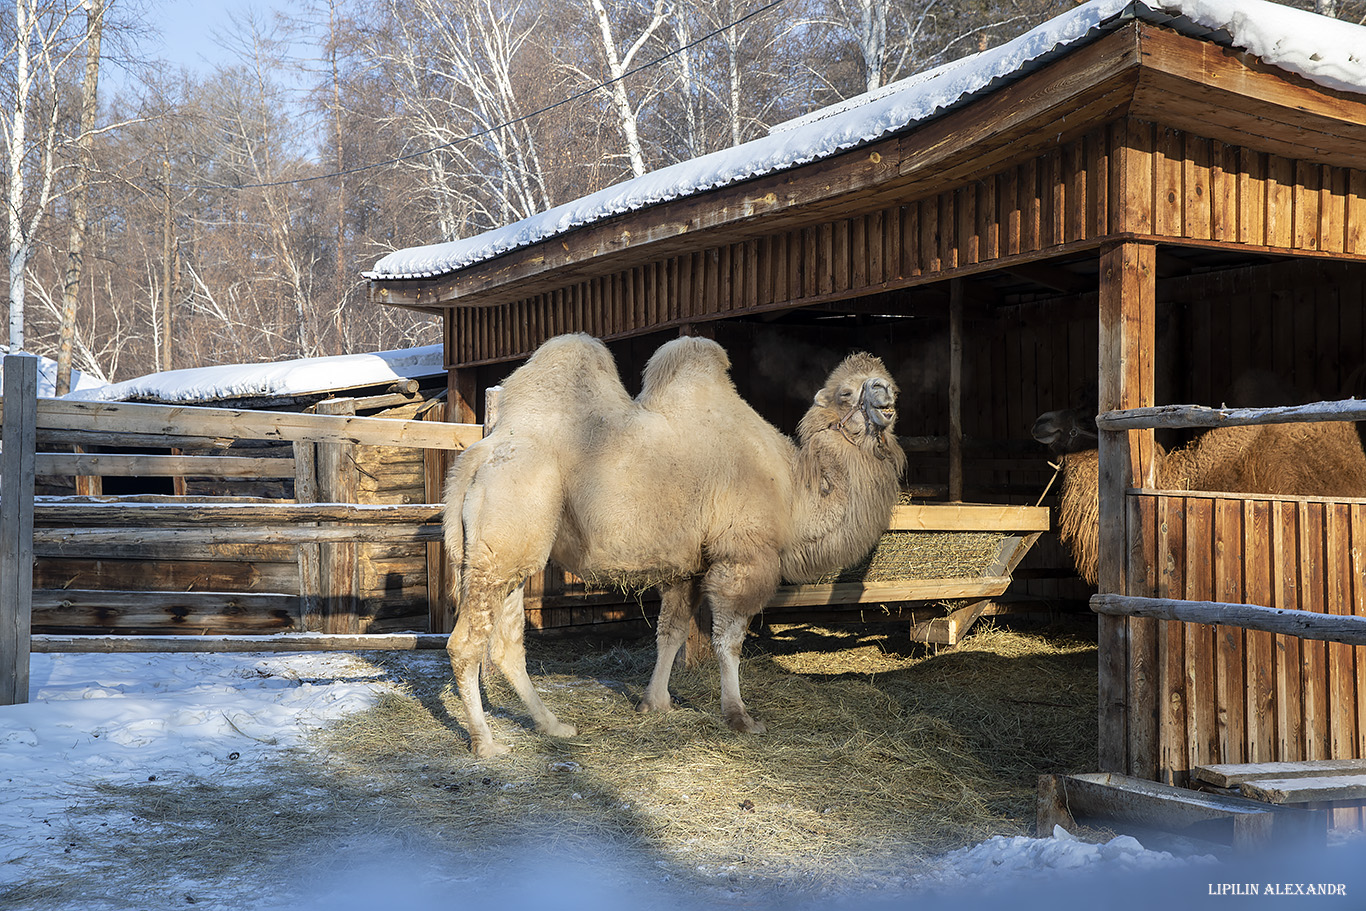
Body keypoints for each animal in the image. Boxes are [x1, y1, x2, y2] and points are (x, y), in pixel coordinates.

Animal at [439, 333, 907, 753]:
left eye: (888, 383)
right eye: (846, 392)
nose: (885, 395)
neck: (794, 491)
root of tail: (477, 456)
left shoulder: (690, 567)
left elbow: (672, 632)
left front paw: (655, 703)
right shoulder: (742, 557)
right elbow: (728, 641)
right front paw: (740, 717)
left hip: (510, 556)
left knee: (506, 644)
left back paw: (554, 726)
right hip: (504, 535)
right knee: (465, 644)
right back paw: (486, 744)